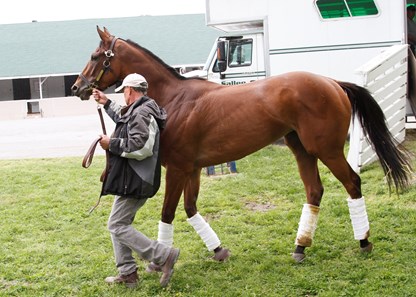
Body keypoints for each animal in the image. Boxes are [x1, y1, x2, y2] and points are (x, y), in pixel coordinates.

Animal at [70, 26, 410, 262]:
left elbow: (168, 213)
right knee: (314, 191)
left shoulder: (178, 169)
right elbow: (191, 209)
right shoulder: (193, 169)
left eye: (95, 56)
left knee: (352, 183)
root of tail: (332, 83)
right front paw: (218, 251)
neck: (174, 101)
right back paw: (300, 247)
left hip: (326, 150)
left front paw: (161, 263)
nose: (77, 88)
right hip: (302, 150)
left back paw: (363, 241)